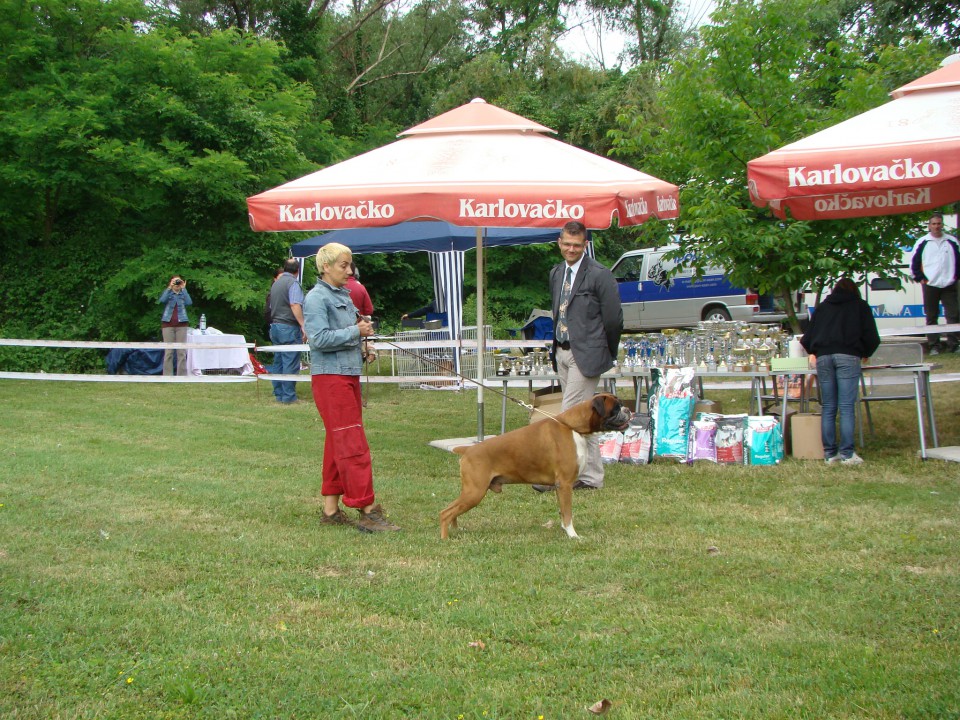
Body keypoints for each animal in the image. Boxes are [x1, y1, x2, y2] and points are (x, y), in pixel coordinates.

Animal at [440, 394, 632, 540]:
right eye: (616, 408)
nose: (628, 410)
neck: (573, 427)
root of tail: (468, 449)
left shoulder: (559, 487)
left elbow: (562, 511)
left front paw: (565, 530)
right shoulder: (565, 484)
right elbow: (568, 513)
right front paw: (573, 535)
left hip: (471, 492)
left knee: (451, 510)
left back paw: (456, 530)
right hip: (475, 492)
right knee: (445, 512)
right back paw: (445, 538)